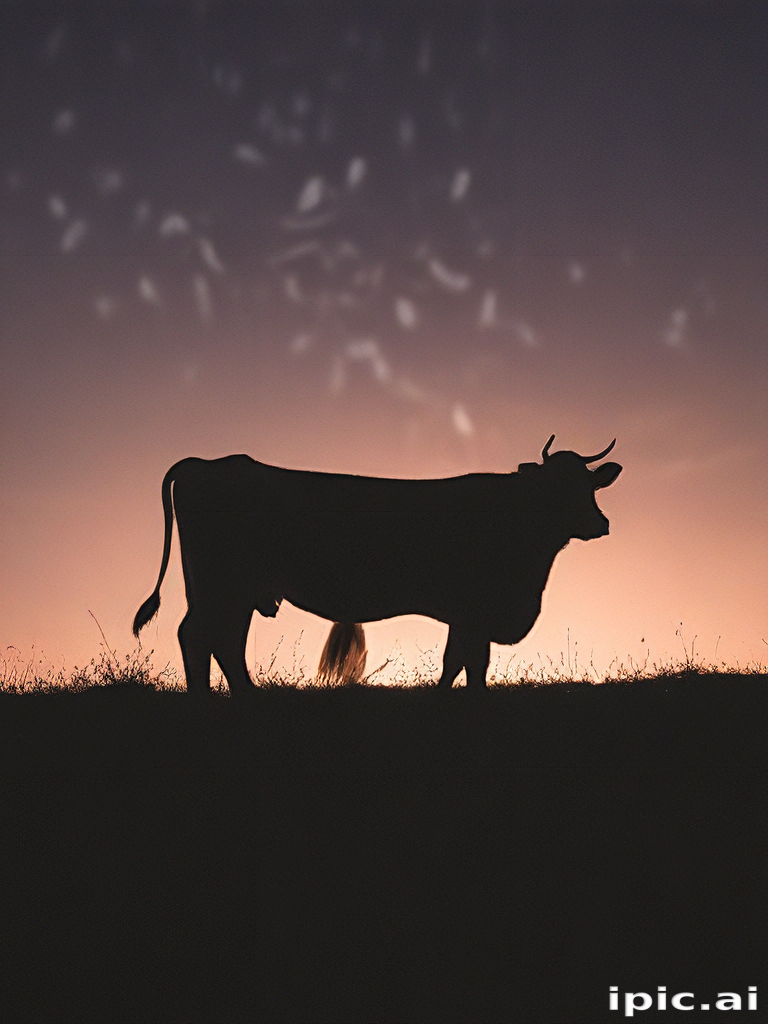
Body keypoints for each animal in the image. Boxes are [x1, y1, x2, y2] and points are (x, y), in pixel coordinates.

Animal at [133, 435, 622, 692]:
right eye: (556, 487)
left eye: (589, 485)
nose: (601, 523)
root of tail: (206, 462)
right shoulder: (474, 611)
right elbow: (471, 664)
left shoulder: (465, 616)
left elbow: (457, 662)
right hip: (221, 585)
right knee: (200, 636)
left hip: (232, 590)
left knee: (221, 641)